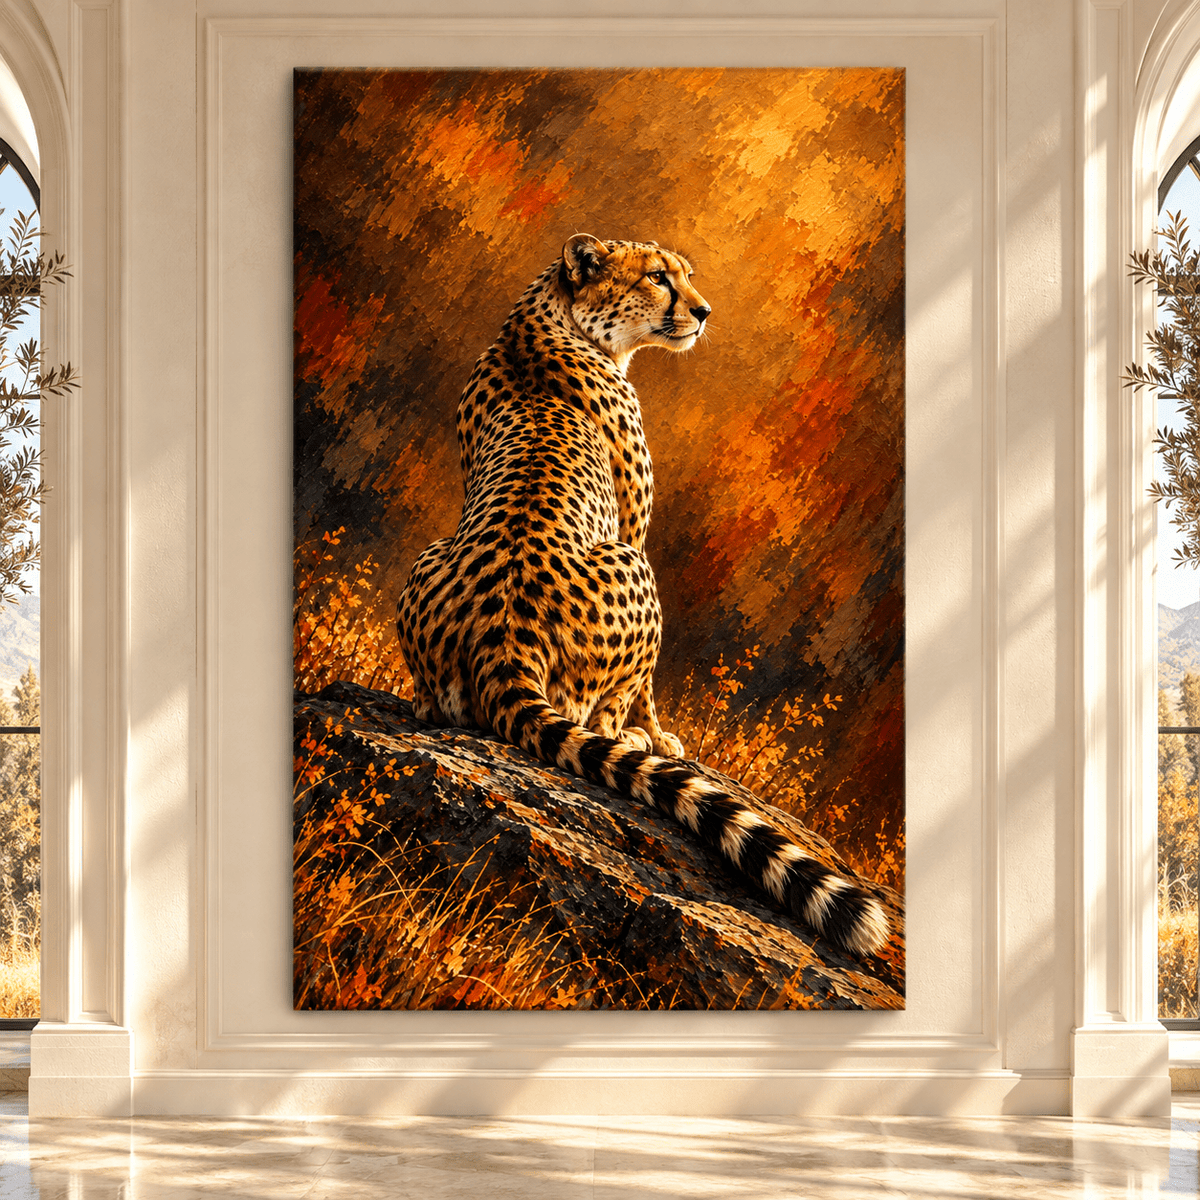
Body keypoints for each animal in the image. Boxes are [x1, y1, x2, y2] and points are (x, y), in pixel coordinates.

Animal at [396, 233, 888, 957]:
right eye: (658, 278)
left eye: (686, 275)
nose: (704, 312)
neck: (552, 324)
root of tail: (504, 641)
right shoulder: (633, 529)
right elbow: (649, 693)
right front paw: (658, 736)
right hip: (634, 567)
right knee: (601, 711)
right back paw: (627, 735)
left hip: (430, 556)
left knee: (443, 706)